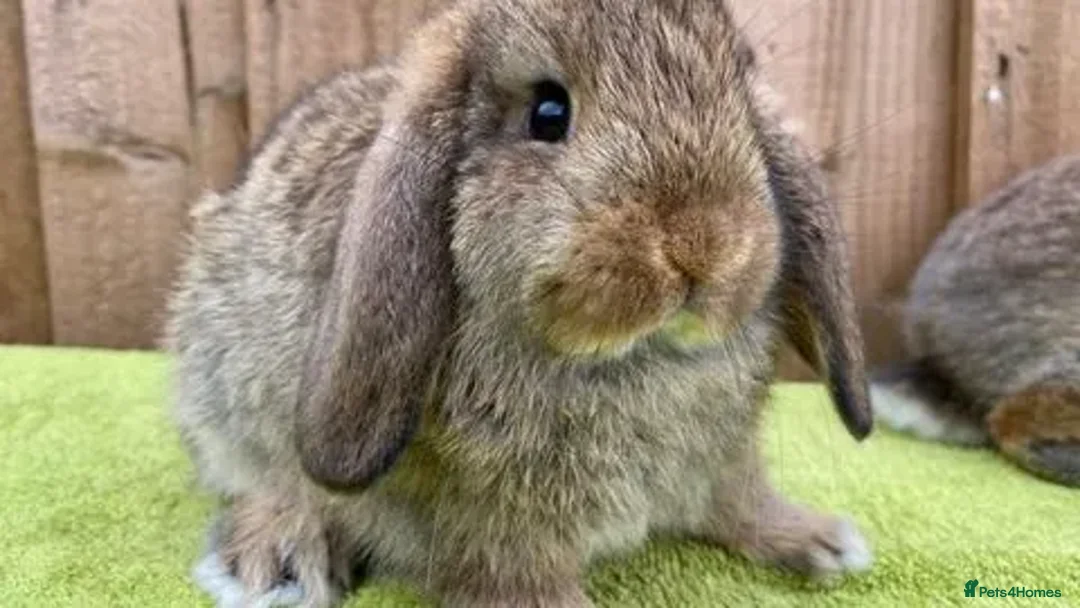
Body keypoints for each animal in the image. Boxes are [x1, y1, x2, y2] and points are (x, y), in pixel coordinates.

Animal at [166, 0, 876, 606]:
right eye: (548, 113)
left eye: (741, 105)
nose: (703, 246)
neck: (628, 358)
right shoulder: (495, 526)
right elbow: (518, 578)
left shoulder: (725, 461)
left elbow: (740, 504)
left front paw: (815, 542)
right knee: (263, 482)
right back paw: (280, 557)